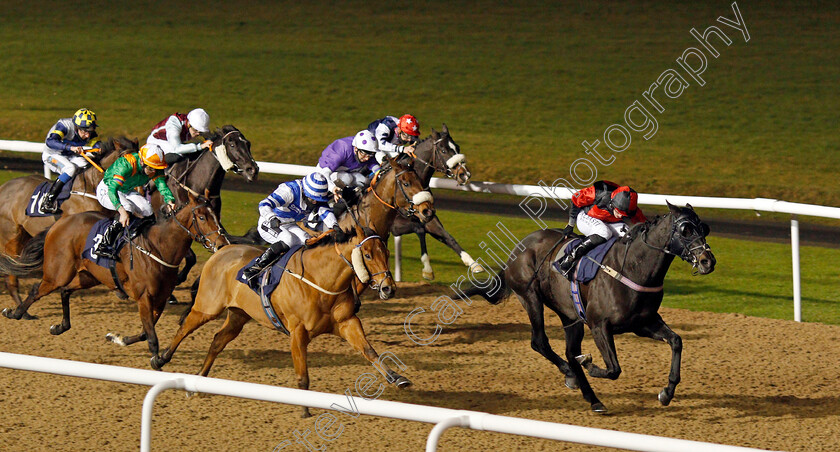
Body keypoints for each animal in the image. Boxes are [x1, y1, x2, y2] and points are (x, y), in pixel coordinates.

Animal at [0, 192, 230, 362]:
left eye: (217, 216)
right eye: (202, 217)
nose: (221, 244)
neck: (158, 248)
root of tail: (60, 222)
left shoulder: (160, 299)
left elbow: (145, 332)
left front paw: (118, 339)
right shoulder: (144, 298)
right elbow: (151, 336)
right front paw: (157, 359)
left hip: (89, 276)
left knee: (64, 291)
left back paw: (60, 327)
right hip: (58, 273)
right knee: (37, 290)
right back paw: (15, 312)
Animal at [155, 225, 414, 416]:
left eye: (387, 253)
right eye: (367, 255)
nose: (388, 288)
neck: (320, 280)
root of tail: (221, 250)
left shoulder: (347, 322)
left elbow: (370, 351)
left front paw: (397, 378)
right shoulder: (298, 332)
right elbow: (303, 375)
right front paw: (305, 409)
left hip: (239, 315)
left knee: (218, 340)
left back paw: (198, 381)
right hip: (207, 307)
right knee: (185, 328)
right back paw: (160, 358)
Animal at [460, 204, 716, 414]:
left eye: (704, 227)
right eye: (685, 229)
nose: (708, 261)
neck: (633, 268)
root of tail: (519, 246)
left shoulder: (643, 323)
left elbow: (676, 341)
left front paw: (667, 392)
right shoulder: (599, 325)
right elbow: (613, 368)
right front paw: (588, 364)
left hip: (569, 315)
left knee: (569, 351)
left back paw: (592, 397)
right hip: (530, 297)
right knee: (540, 342)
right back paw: (572, 375)